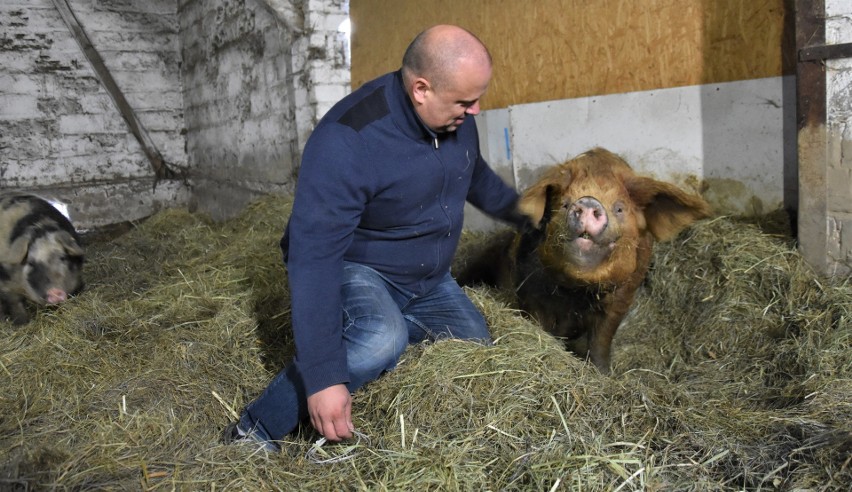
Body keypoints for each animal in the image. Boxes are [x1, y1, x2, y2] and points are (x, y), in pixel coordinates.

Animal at [0, 193, 85, 326]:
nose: (54, 292)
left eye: (63, 257)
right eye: (30, 263)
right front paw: (21, 324)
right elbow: (15, 304)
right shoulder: (6, 285)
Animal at [460, 147, 712, 372]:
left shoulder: (622, 298)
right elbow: (538, 324)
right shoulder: (528, 290)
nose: (589, 202)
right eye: (564, 203)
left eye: (619, 208)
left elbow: (602, 339)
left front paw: (603, 373)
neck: (575, 292)